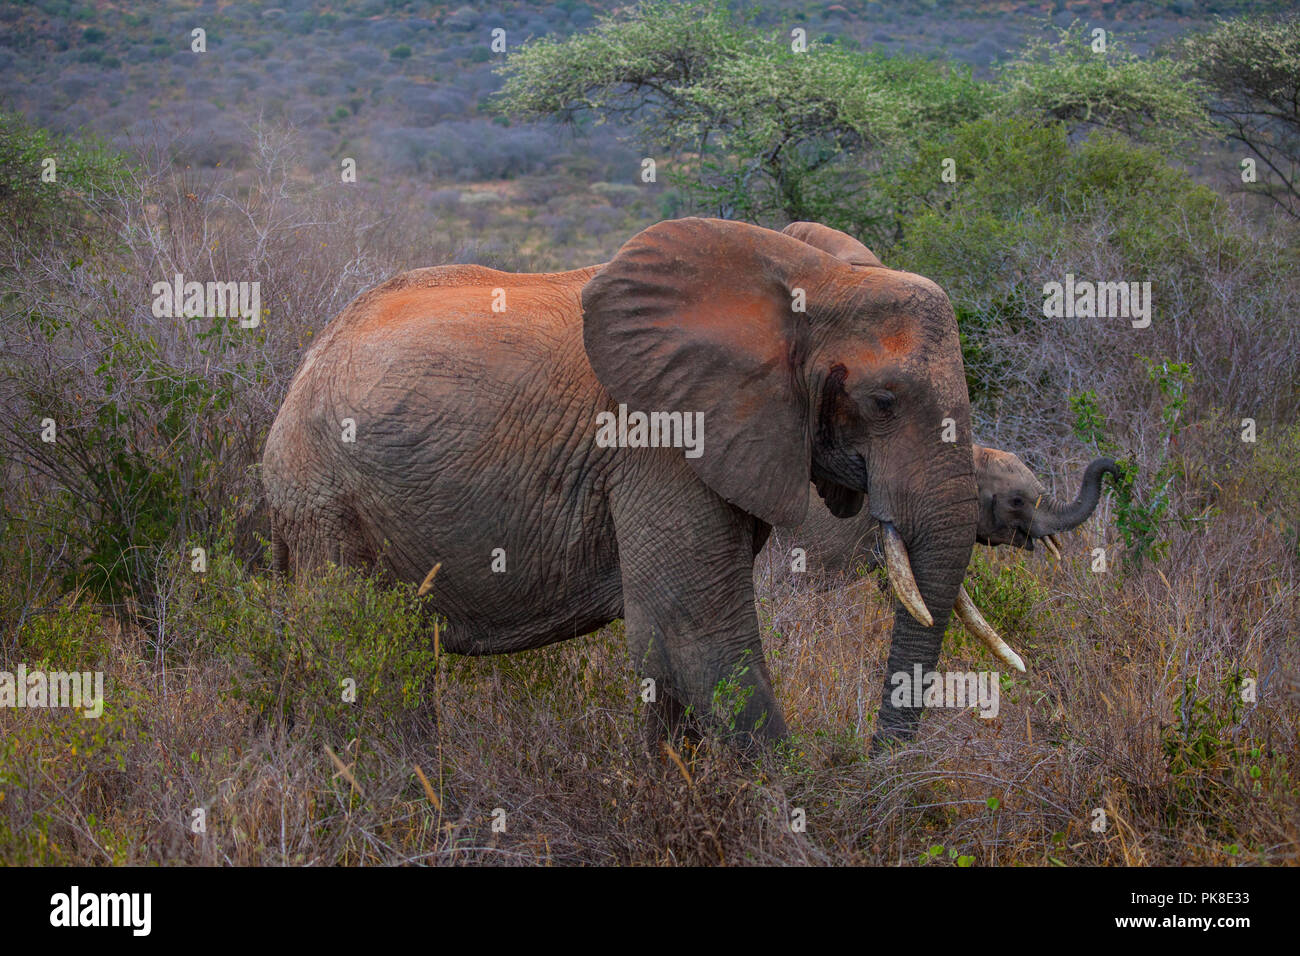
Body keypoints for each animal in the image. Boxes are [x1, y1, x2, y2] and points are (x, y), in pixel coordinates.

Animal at [261, 214, 982, 749]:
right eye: (884, 401)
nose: (878, 760)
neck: (818, 277)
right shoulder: (656, 444)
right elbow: (696, 637)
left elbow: (667, 652)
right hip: (323, 496)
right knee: (358, 653)